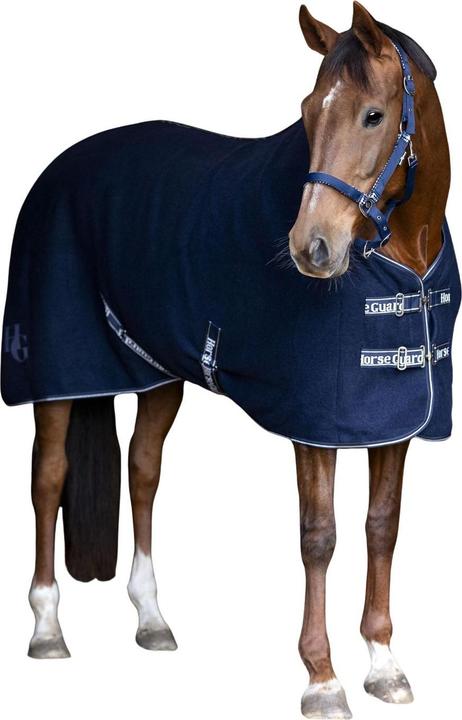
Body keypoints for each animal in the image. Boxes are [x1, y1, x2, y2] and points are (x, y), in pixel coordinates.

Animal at [1, 3, 459, 719]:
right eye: (308, 111)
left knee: (143, 471)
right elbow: (319, 535)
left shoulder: (396, 417)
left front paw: (385, 665)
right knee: (48, 478)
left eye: (373, 115)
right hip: (55, 372)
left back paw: (152, 619)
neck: (401, 262)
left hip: (157, 374)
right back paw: (47, 628)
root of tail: (60, 167)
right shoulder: (313, 424)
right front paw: (322, 679)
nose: (311, 246)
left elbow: (381, 528)